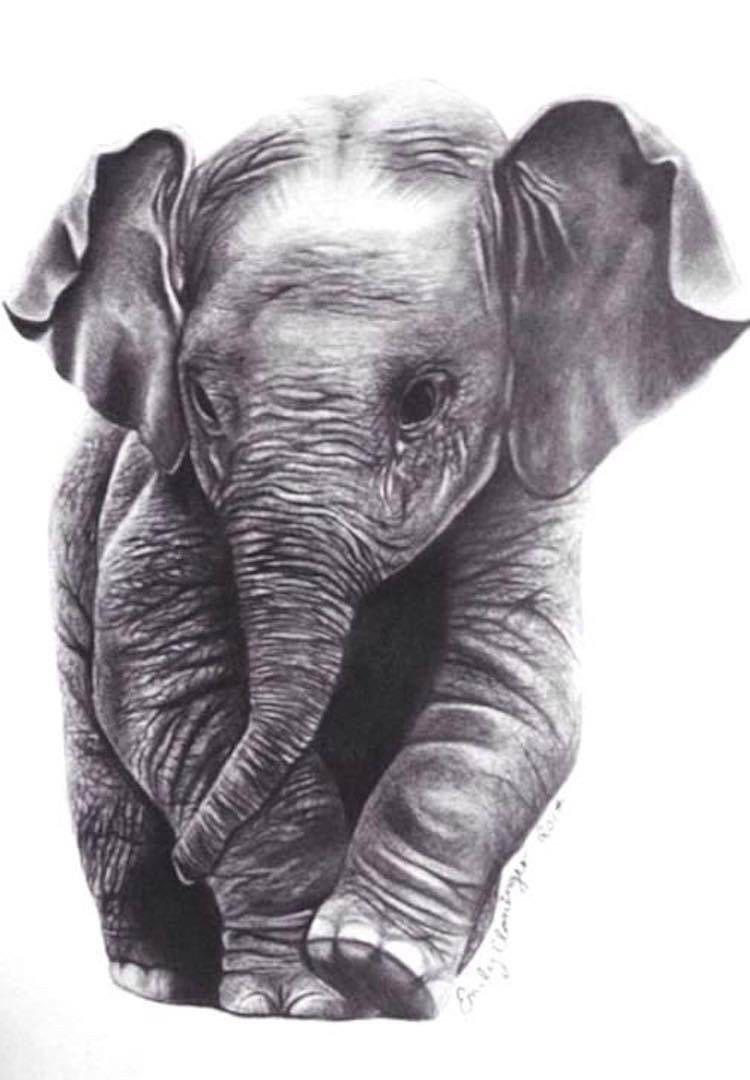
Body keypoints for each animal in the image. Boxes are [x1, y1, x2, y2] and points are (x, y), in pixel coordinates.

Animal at [6, 80, 747, 1020]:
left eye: (423, 399)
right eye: (203, 399)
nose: (190, 860)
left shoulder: (527, 471)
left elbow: (512, 681)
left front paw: (376, 969)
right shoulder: (160, 477)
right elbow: (166, 679)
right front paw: (295, 1000)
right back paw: (159, 976)